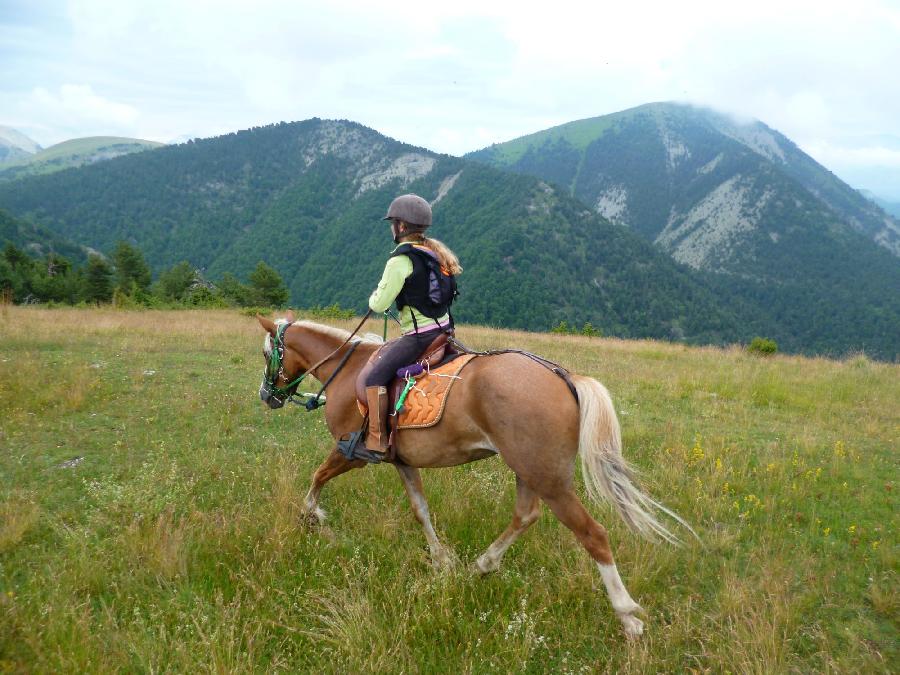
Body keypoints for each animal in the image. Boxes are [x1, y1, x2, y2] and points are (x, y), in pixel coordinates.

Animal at [256, 316, 692, 640]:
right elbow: (420, 509)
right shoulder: (402, 461)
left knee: (593, 534)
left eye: (266, 352)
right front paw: (442, 559)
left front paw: (311, 517)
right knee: (526, 516)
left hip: (549, 479)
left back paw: (627, 615)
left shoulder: (351, 451)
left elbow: (318, 476)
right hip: (528, 470)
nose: (266, 395)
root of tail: (564, 376)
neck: (348, 372)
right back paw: (482, 564)